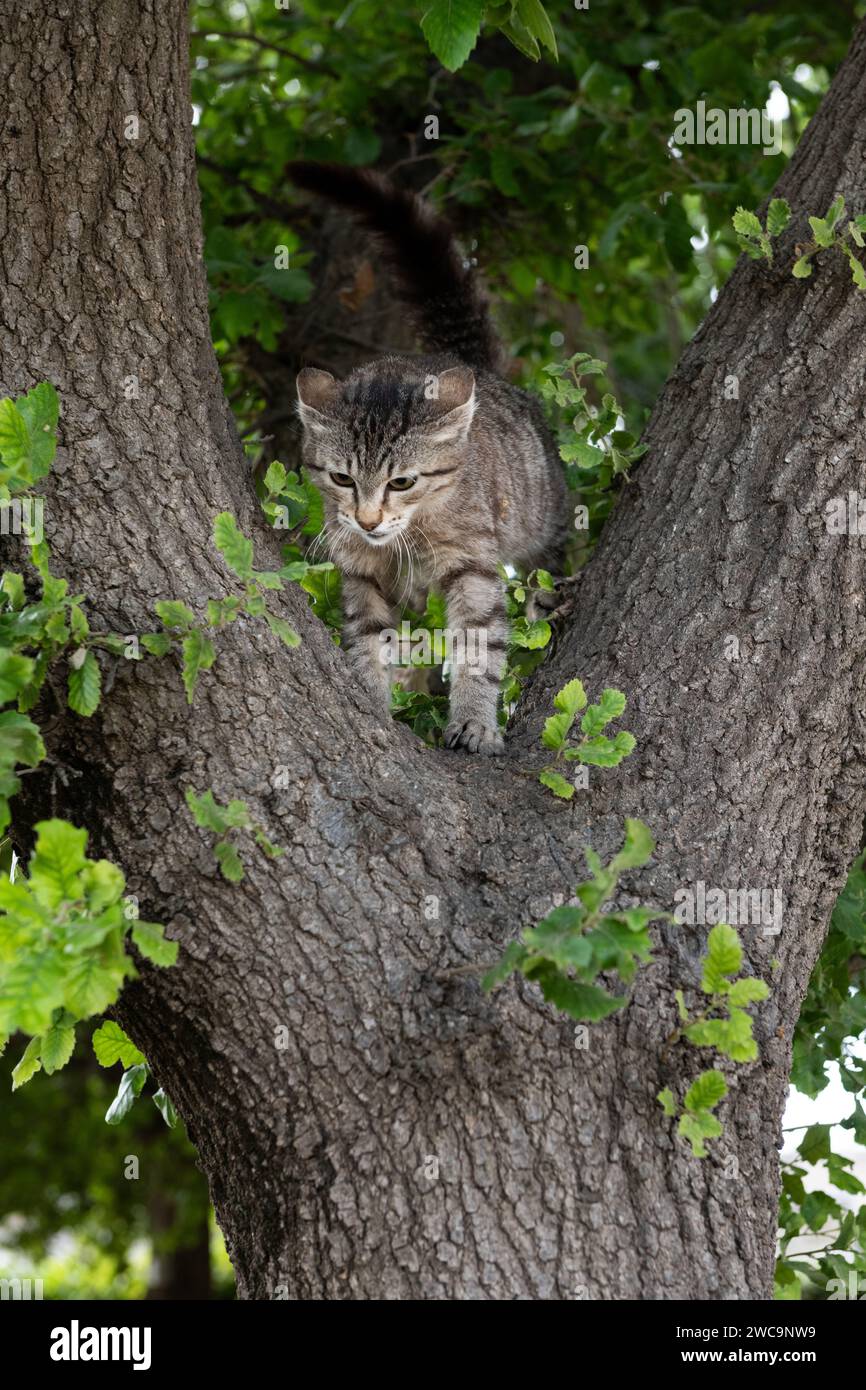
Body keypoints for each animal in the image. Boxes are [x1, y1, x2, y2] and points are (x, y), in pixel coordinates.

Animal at [286, 162, 569, 756]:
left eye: (402, 482)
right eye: (342, 478)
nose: (368, 520)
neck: (407, 537)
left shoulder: (473, 566)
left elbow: (479, 644)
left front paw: (475, 721)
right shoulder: (360, 572)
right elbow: (368, 638)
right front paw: (372, 700)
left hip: (544, 518)